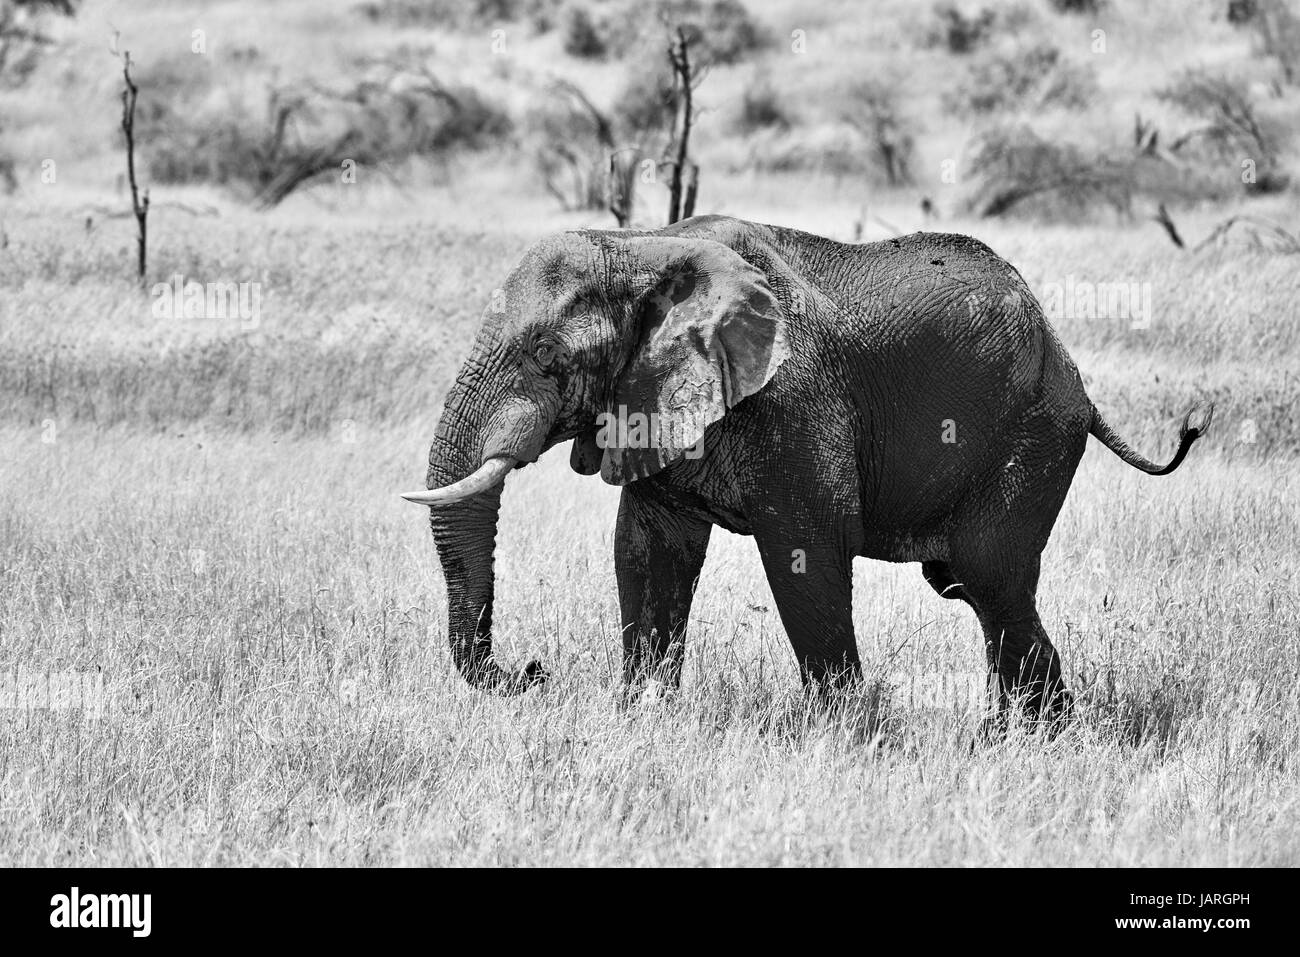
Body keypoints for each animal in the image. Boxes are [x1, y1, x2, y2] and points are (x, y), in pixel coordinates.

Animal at [402, 215, 1212, 725]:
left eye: (546, 354)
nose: (533, 671)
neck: (642, 246)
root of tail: (1075, 372)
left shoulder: (796, 399)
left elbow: (804, 554)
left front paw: (844, 737)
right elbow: (648, 552)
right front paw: (641, 720)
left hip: (1034, 431)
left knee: (992, 579)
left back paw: (1032, 742)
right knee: (975, 589)